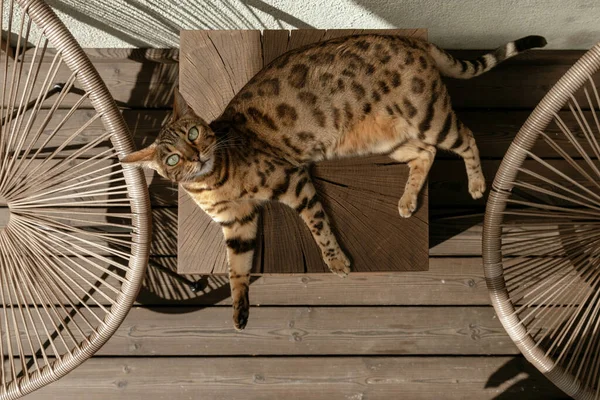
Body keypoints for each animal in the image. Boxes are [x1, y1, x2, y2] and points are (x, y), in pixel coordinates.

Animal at [123, 34, 548, 330]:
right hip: (387, 138)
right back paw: (408, 201)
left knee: (466, 137)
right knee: (424, 153)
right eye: (173, 159)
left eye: (194, 133)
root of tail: (409, 39)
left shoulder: (291, 179)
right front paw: (239, 312)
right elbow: (236, 269)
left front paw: (336, 261)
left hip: (429, 117)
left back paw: (476, 184)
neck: (213, 182)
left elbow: (318, 226)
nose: (195, 156)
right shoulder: (237, 224)